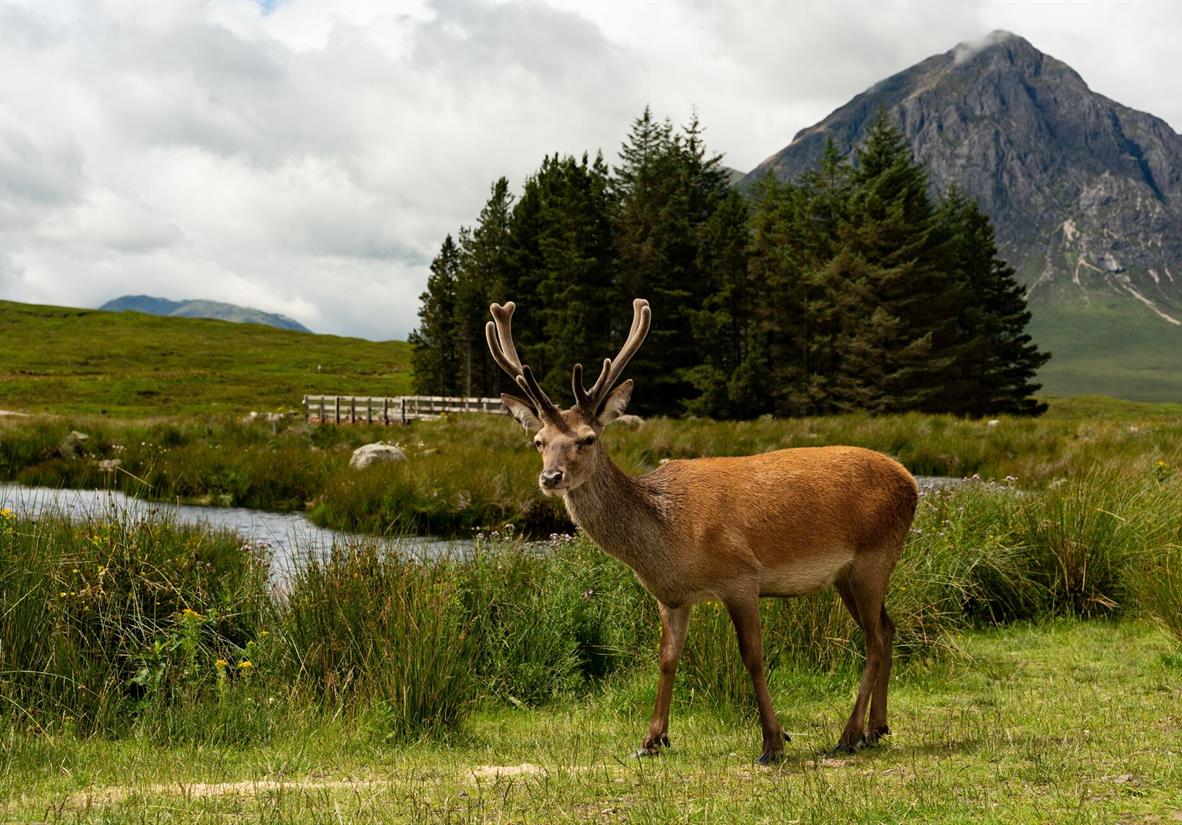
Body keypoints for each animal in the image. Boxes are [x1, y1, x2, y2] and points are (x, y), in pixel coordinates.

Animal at [486, 298, 919, 764]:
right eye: (539, 442)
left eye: (587, 438)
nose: (551, 477)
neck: (667, 539)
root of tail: (911, 481)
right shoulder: (671, 596)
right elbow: (667, 658)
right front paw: (651, 740)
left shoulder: (741, 577)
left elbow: (753, 656)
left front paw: (773, 741)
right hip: (846, 574)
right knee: (887, 629)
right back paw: (876, 727)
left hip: (875, 556)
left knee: (873, 639)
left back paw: (849, 734)